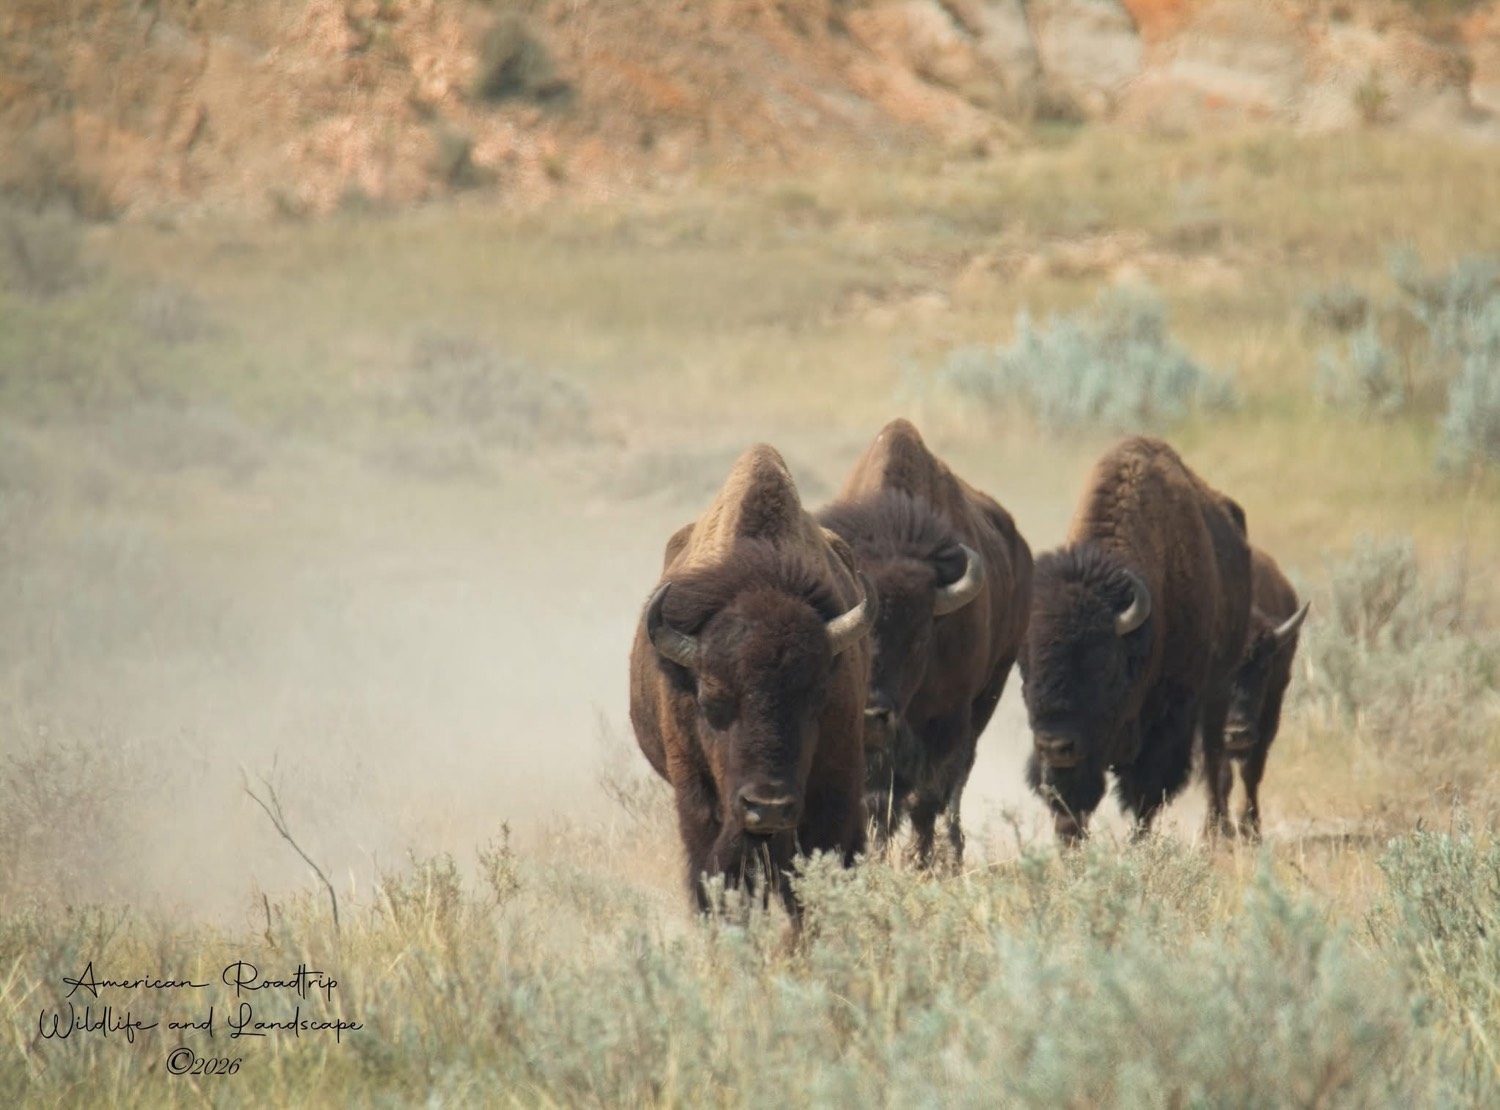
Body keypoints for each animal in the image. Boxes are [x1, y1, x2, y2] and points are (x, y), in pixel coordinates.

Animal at [818, 419, 1032, 868]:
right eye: (853, 643)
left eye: (919, 638)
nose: (873, 713)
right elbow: (875, 799)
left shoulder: (948, 718)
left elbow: (927, 796)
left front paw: (921, 861)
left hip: (991, 689)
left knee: (957, 780)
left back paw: (951, 851)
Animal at [1021, 436, 1251, 842]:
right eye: (1024, 667)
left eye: (1100, 664)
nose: (1055, 745)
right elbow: (1070, 800)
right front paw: (1070, 842)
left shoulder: (1168, 723)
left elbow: (1146, 793)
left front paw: (1138, 846)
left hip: (1219, 689)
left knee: (1213, 760)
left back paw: (1215, 834)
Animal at [1214, 546, 1310, 839]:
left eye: (1265, 669)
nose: (1237, 733)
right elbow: (1222, 775)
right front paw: (1220, 832)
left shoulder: (1269, 717)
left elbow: (1251, 772)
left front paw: (1251, 830)